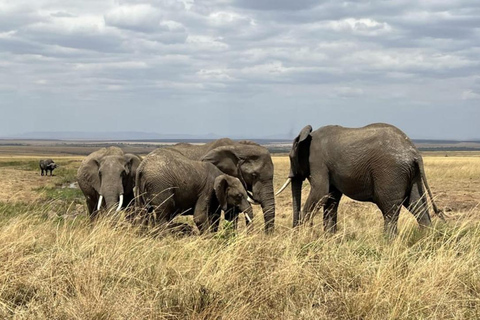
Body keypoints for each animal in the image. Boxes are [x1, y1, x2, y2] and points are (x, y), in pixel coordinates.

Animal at [278, 124, 446, 236]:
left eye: (290, 157)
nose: (293, 231)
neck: (307, 137)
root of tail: (415, 152)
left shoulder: (318, 162)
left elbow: (320, 193)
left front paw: (301, 236)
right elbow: (331, 198)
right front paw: (330, 239)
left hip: (390, 173)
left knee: (389, 209)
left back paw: (387, 243)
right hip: (412, 174)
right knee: (416, 204)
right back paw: (426, 240)